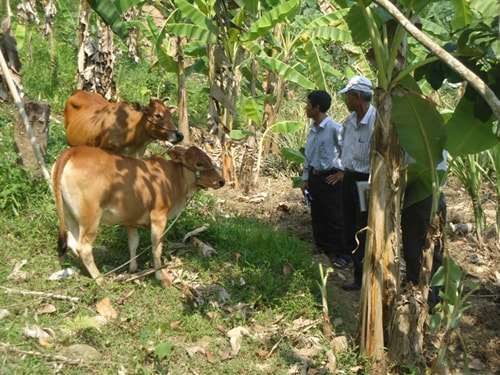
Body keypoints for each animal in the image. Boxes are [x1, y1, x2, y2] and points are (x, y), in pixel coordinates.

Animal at [51, 145, 224, 286]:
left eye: (209, 160)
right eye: (199, 163)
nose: (221, 181)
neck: (174, 178)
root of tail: (74, 151)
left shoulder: (131, 221)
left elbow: (133, 243)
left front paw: (133, 268)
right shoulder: (158, 216)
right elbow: (156, 248)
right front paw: (161, 276)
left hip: (70, 215)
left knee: (72, 242)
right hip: (91, 218)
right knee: (84, 248)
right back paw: (100, 279)